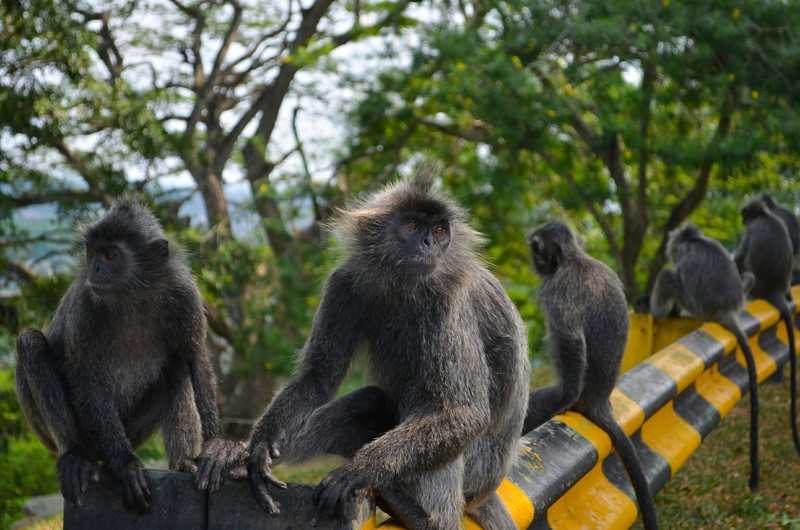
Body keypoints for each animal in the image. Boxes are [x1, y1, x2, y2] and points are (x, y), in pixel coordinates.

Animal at [14, 196, 247, 510]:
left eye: (111, 255)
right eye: (92, 253)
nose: (94, 269)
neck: (134, 295)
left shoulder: (184, 295)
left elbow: (195, 359)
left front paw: (219, 449)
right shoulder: (85, 303)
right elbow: (84, 376)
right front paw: (125, 465)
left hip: (134, 429)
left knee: (176, 367)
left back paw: (184, 463)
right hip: (74, 433)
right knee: (30, 342)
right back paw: (75, 454)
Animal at [247, 165, 528, 528]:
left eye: (440, 230)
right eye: (413, 226)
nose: (429, 244)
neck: (403, 285)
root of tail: (489, 488)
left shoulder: (448, 300)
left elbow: (464, 412)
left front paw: (356, 472)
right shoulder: (344, 284)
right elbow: (317, 378)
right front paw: (259, 449)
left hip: (478, 471)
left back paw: (421, 516)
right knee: (369, 398)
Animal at [520, 220, 660, 528]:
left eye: (536, 248)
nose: (534, 260)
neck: (575, 260)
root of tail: (599, 399)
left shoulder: (556, 288)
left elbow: (571, 339)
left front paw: (564, 398)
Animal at [648, 222, 764, 486]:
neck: (695, 241)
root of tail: (726, 310)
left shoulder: (685, 258)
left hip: (698, 306)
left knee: (668, 275)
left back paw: (658, 312)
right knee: (749, 276)